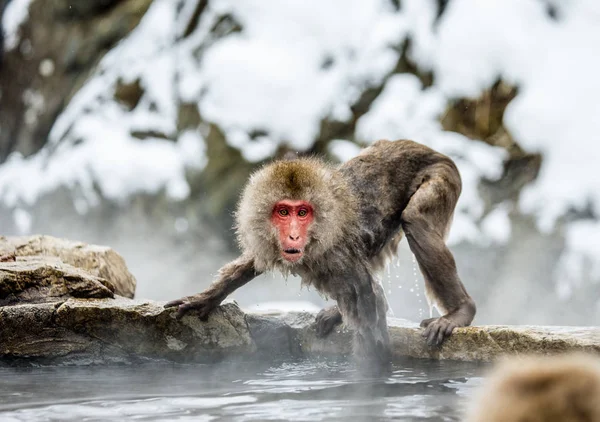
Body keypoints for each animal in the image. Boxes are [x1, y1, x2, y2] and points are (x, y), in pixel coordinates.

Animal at [164, 140, 474, 370]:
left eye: (302, 213)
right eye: (283, 212)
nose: (293, 236)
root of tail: (420, 146)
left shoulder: (338, 258)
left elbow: (370, 301)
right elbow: (252, 261)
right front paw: (206, 298)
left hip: (443, 173)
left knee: (416, 220)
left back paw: (462, 312)